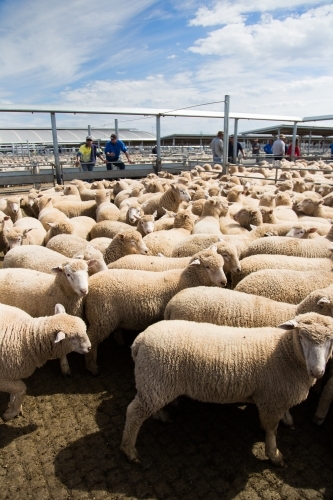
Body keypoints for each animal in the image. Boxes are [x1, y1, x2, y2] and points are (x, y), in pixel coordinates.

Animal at [84, 248, 227, 374]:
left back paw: (120, 341)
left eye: (222, 265)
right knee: (92, 339)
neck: (186, 279)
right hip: (101, 317)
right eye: (207, 267)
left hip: (110, 316)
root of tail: (90, 283)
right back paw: (92, 367)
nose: (224, 282)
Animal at [120, 312, 332, 464]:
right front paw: (274, 455)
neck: (285, 353)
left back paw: (161, 415)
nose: (318, 371)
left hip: (155, 384)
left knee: (149, 405)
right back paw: (130, 451)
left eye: (330, 341)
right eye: (302, 337)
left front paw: (287, 419)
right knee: (133, 413)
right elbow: (271, 430)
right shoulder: (272, 400)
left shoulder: (277, 396)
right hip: (155, 379)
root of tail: (139, 340)